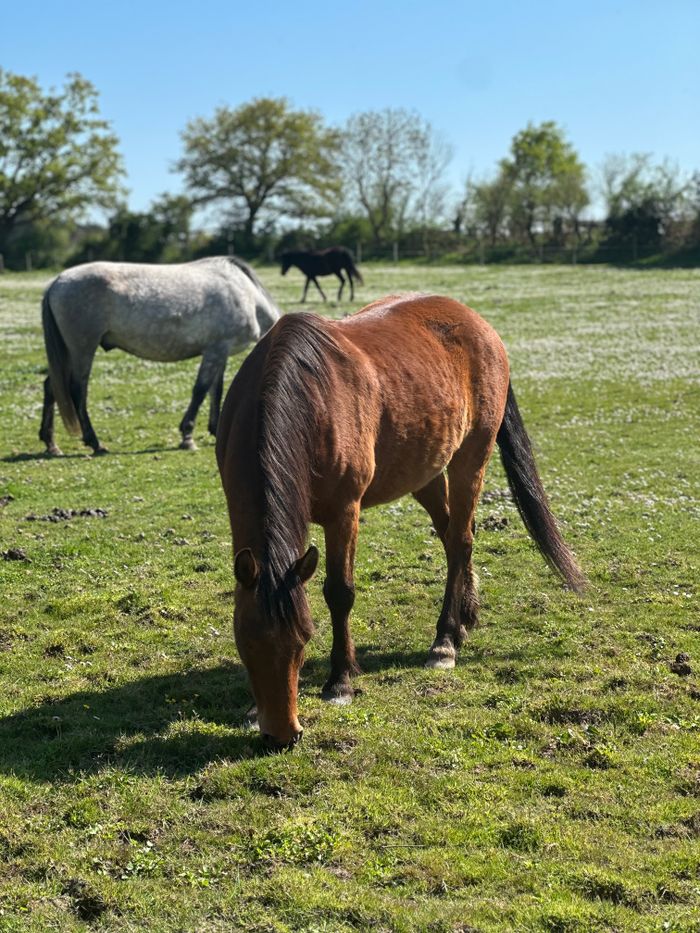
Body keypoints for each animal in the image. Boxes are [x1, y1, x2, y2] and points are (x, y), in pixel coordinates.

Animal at [39, 256, 281, 455]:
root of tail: (57, 281)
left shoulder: (221, 353)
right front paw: (187, 436)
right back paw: (94, 442)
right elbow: (200, 391)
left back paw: (51, 444)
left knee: (52, 387)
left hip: (68, 353)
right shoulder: (215, 350)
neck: (246, 294)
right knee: (78, 390)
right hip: (82, 349)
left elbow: (216, 392)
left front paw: (215, 430)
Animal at [216, 293, 585, 749]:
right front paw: (253, 710)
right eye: (245, 643)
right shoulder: (238, 511)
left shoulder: (344, 511)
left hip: (471, 457)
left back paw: (444, 642)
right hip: (425, 470)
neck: (305, 398)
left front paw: (340, 682)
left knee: (460, 540)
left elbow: (339, 592)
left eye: (303, 640)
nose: (282, 735)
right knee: (451, 535)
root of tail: (477, 322)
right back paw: (465, 618)